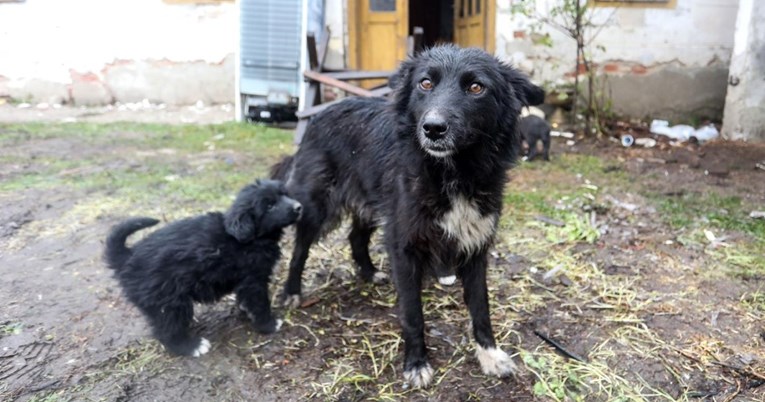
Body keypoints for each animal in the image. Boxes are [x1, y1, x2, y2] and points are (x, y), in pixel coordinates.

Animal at [100, 181, 302, 356]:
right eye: (269, 206)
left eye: (284, 194)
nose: (299, 207)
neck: (248, 237)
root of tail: (127, 256)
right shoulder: (254, 280)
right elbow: (260, 303)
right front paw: (268, 324)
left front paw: (247, 310)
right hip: (170, 302)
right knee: (167, 331)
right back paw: (192, 347)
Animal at [270, 44, 544, 386]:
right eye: (425, 83)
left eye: (476, 87)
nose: (433, 128)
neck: (453, 173)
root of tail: (321, 114)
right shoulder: (404, 245)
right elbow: (413, 313)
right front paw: (416, 363)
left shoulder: (476, 245)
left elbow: (481, 308)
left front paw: (489, 354)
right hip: (318, 206)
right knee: (300, 250)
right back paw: (292, 292)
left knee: (356, 237)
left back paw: (369, 272)